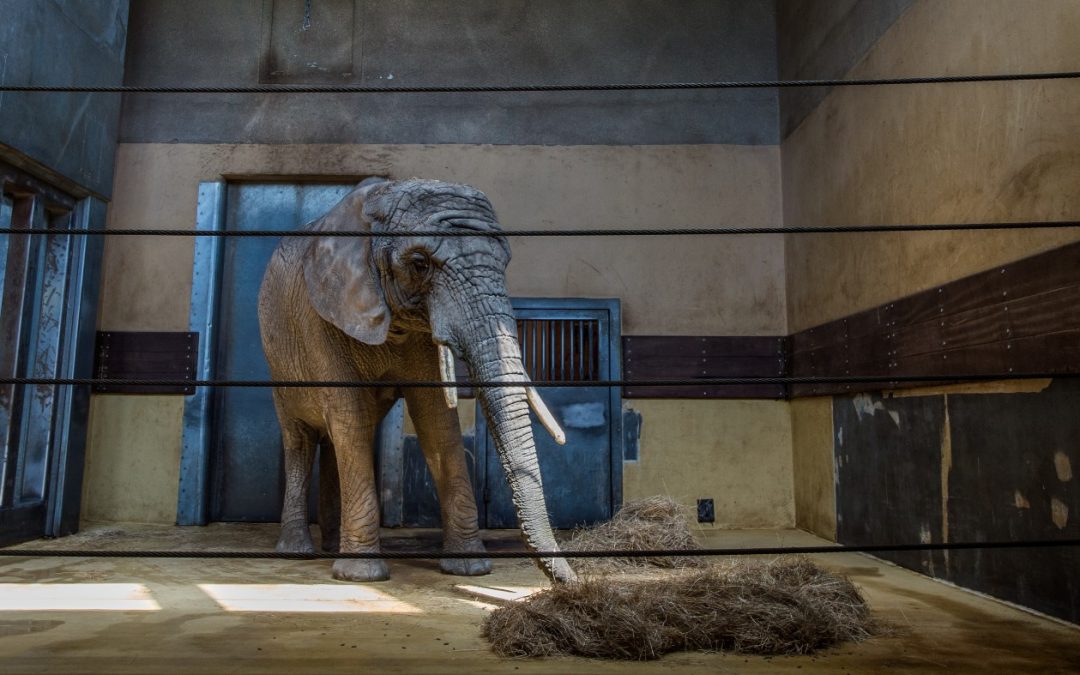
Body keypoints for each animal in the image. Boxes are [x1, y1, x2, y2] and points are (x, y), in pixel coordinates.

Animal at [257, 177, 576, 584]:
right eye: (420, 264)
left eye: (505, 262)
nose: (574, 581)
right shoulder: (319, 316)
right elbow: (349, 412)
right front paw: (363, 576)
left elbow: (436, 418)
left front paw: (470, 568)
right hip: (278, 362)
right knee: (301, 439)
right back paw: (297, 552)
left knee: (334, 440)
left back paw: (330, 546)